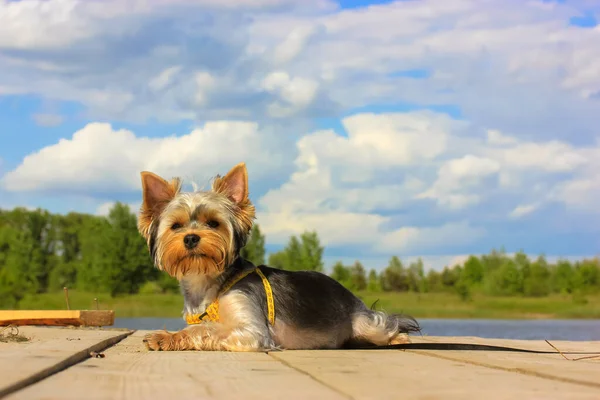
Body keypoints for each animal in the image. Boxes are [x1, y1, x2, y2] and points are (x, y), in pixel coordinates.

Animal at [138, 162, 420, 350]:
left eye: (213, 223)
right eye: (176, 226)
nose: (191, 238)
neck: (208, 281)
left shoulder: (251, 330)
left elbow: (205, 328)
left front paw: (166, 337)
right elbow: (199, 325)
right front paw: (167, 336)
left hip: (365, 321)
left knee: (384, 325)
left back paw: (399, 337)